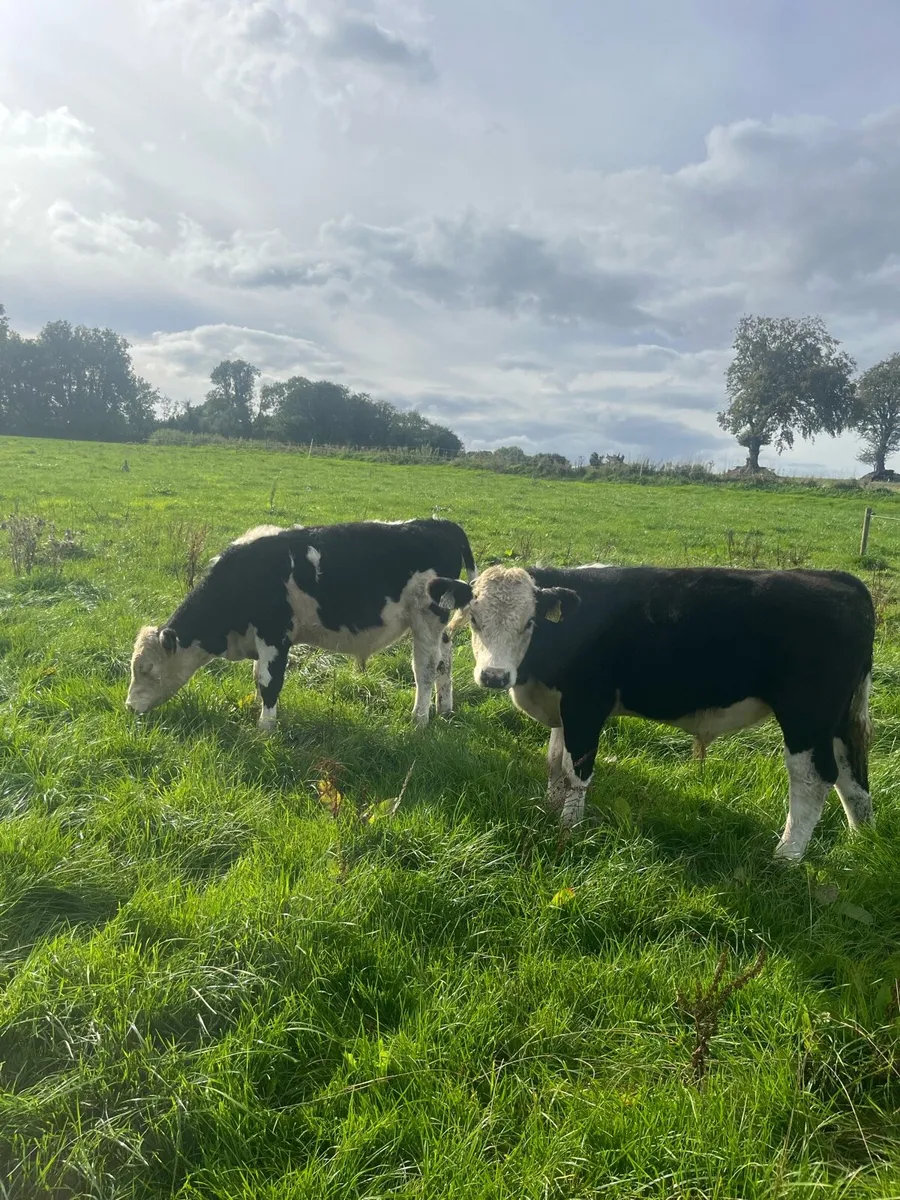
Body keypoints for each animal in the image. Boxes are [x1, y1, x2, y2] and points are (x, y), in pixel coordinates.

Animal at [126, 518, 477, 731]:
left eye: (147, 668)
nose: (129, 707)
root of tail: (437, 523)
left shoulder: (274, 635)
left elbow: (270, 681)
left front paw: (265, 728)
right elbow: (258, 679)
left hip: (426, 617)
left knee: (425, 668)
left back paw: (419, 719)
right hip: (441, 623)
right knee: (445, 662)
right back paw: (444, 709)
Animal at [426, 563, 875, 861]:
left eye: (529, 622)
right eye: (474, 620)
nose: (494, 676)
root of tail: (839, 579)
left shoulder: (586, 705)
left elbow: (577, 768)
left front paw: (569, 826)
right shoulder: (561, 707)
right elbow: (554, 761)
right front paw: (551, 809)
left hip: (806, 717)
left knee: (813, 779)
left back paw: (786, 855)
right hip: (838, 719)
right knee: (852, 775)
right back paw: (863, 840)